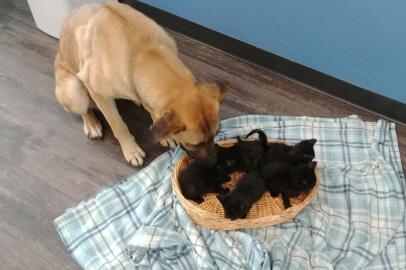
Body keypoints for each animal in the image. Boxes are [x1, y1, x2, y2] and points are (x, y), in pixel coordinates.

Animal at [54, 2, 227, 167]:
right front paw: (131, 150)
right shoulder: (99, 94)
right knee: (85, 110)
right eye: (196, 144)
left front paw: (164, 135)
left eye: (216, 134)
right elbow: (118, 125)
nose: (214, 163)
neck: (144, 52)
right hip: (74, 92)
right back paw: (92, 124)